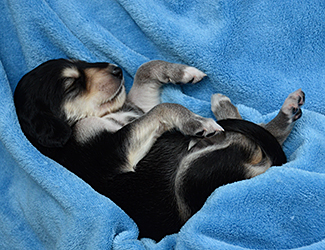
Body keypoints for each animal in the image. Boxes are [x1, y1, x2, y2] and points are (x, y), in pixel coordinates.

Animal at [14, 58, 304, 240]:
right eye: (71, 84)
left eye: (81, 64)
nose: (117, 69)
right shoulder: (114, 151)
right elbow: (163, 108)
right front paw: (194, 121)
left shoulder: (139, 107)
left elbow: (146, 70)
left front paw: (182, 72)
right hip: (191, 176)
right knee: (252, 141)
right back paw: (216, 122)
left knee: (260, 132)